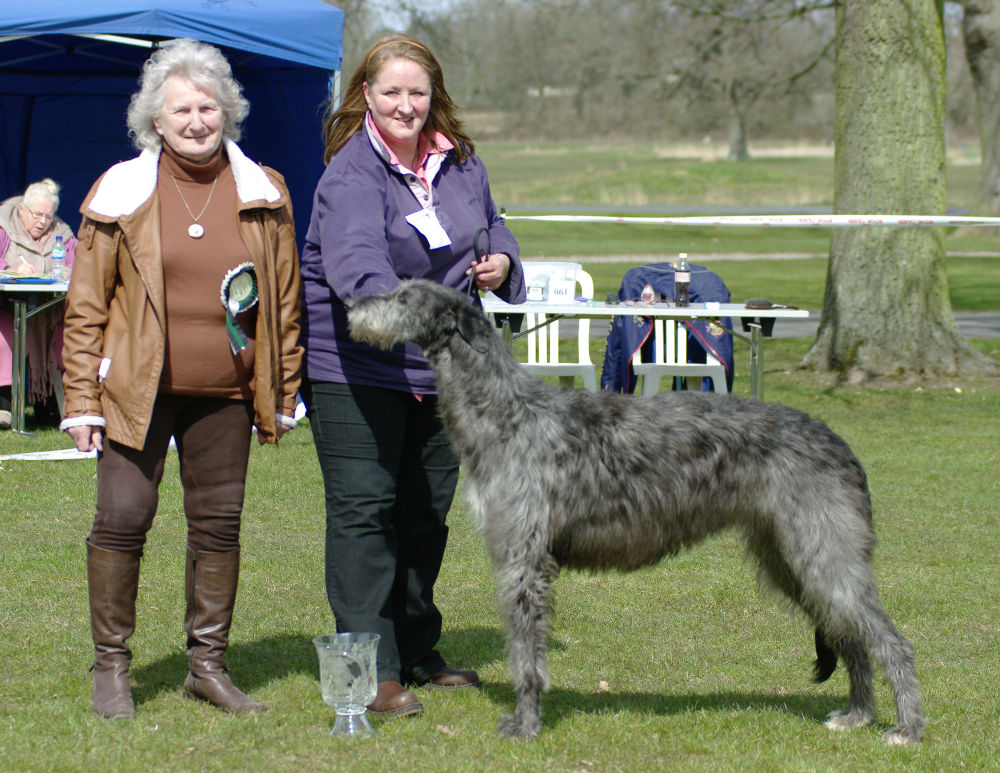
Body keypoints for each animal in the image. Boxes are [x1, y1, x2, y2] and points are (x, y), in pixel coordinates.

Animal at [348, 278, 924, 740]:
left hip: (822, 550)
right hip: (789, 555)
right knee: (850, 636)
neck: (507, 410)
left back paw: (906, 728)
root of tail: (840, 442)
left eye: (404, 297)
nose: (351, 303)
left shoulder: (523, 560)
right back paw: (857, 715)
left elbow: (526, 654)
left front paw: (526, 724)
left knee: (891, 641)